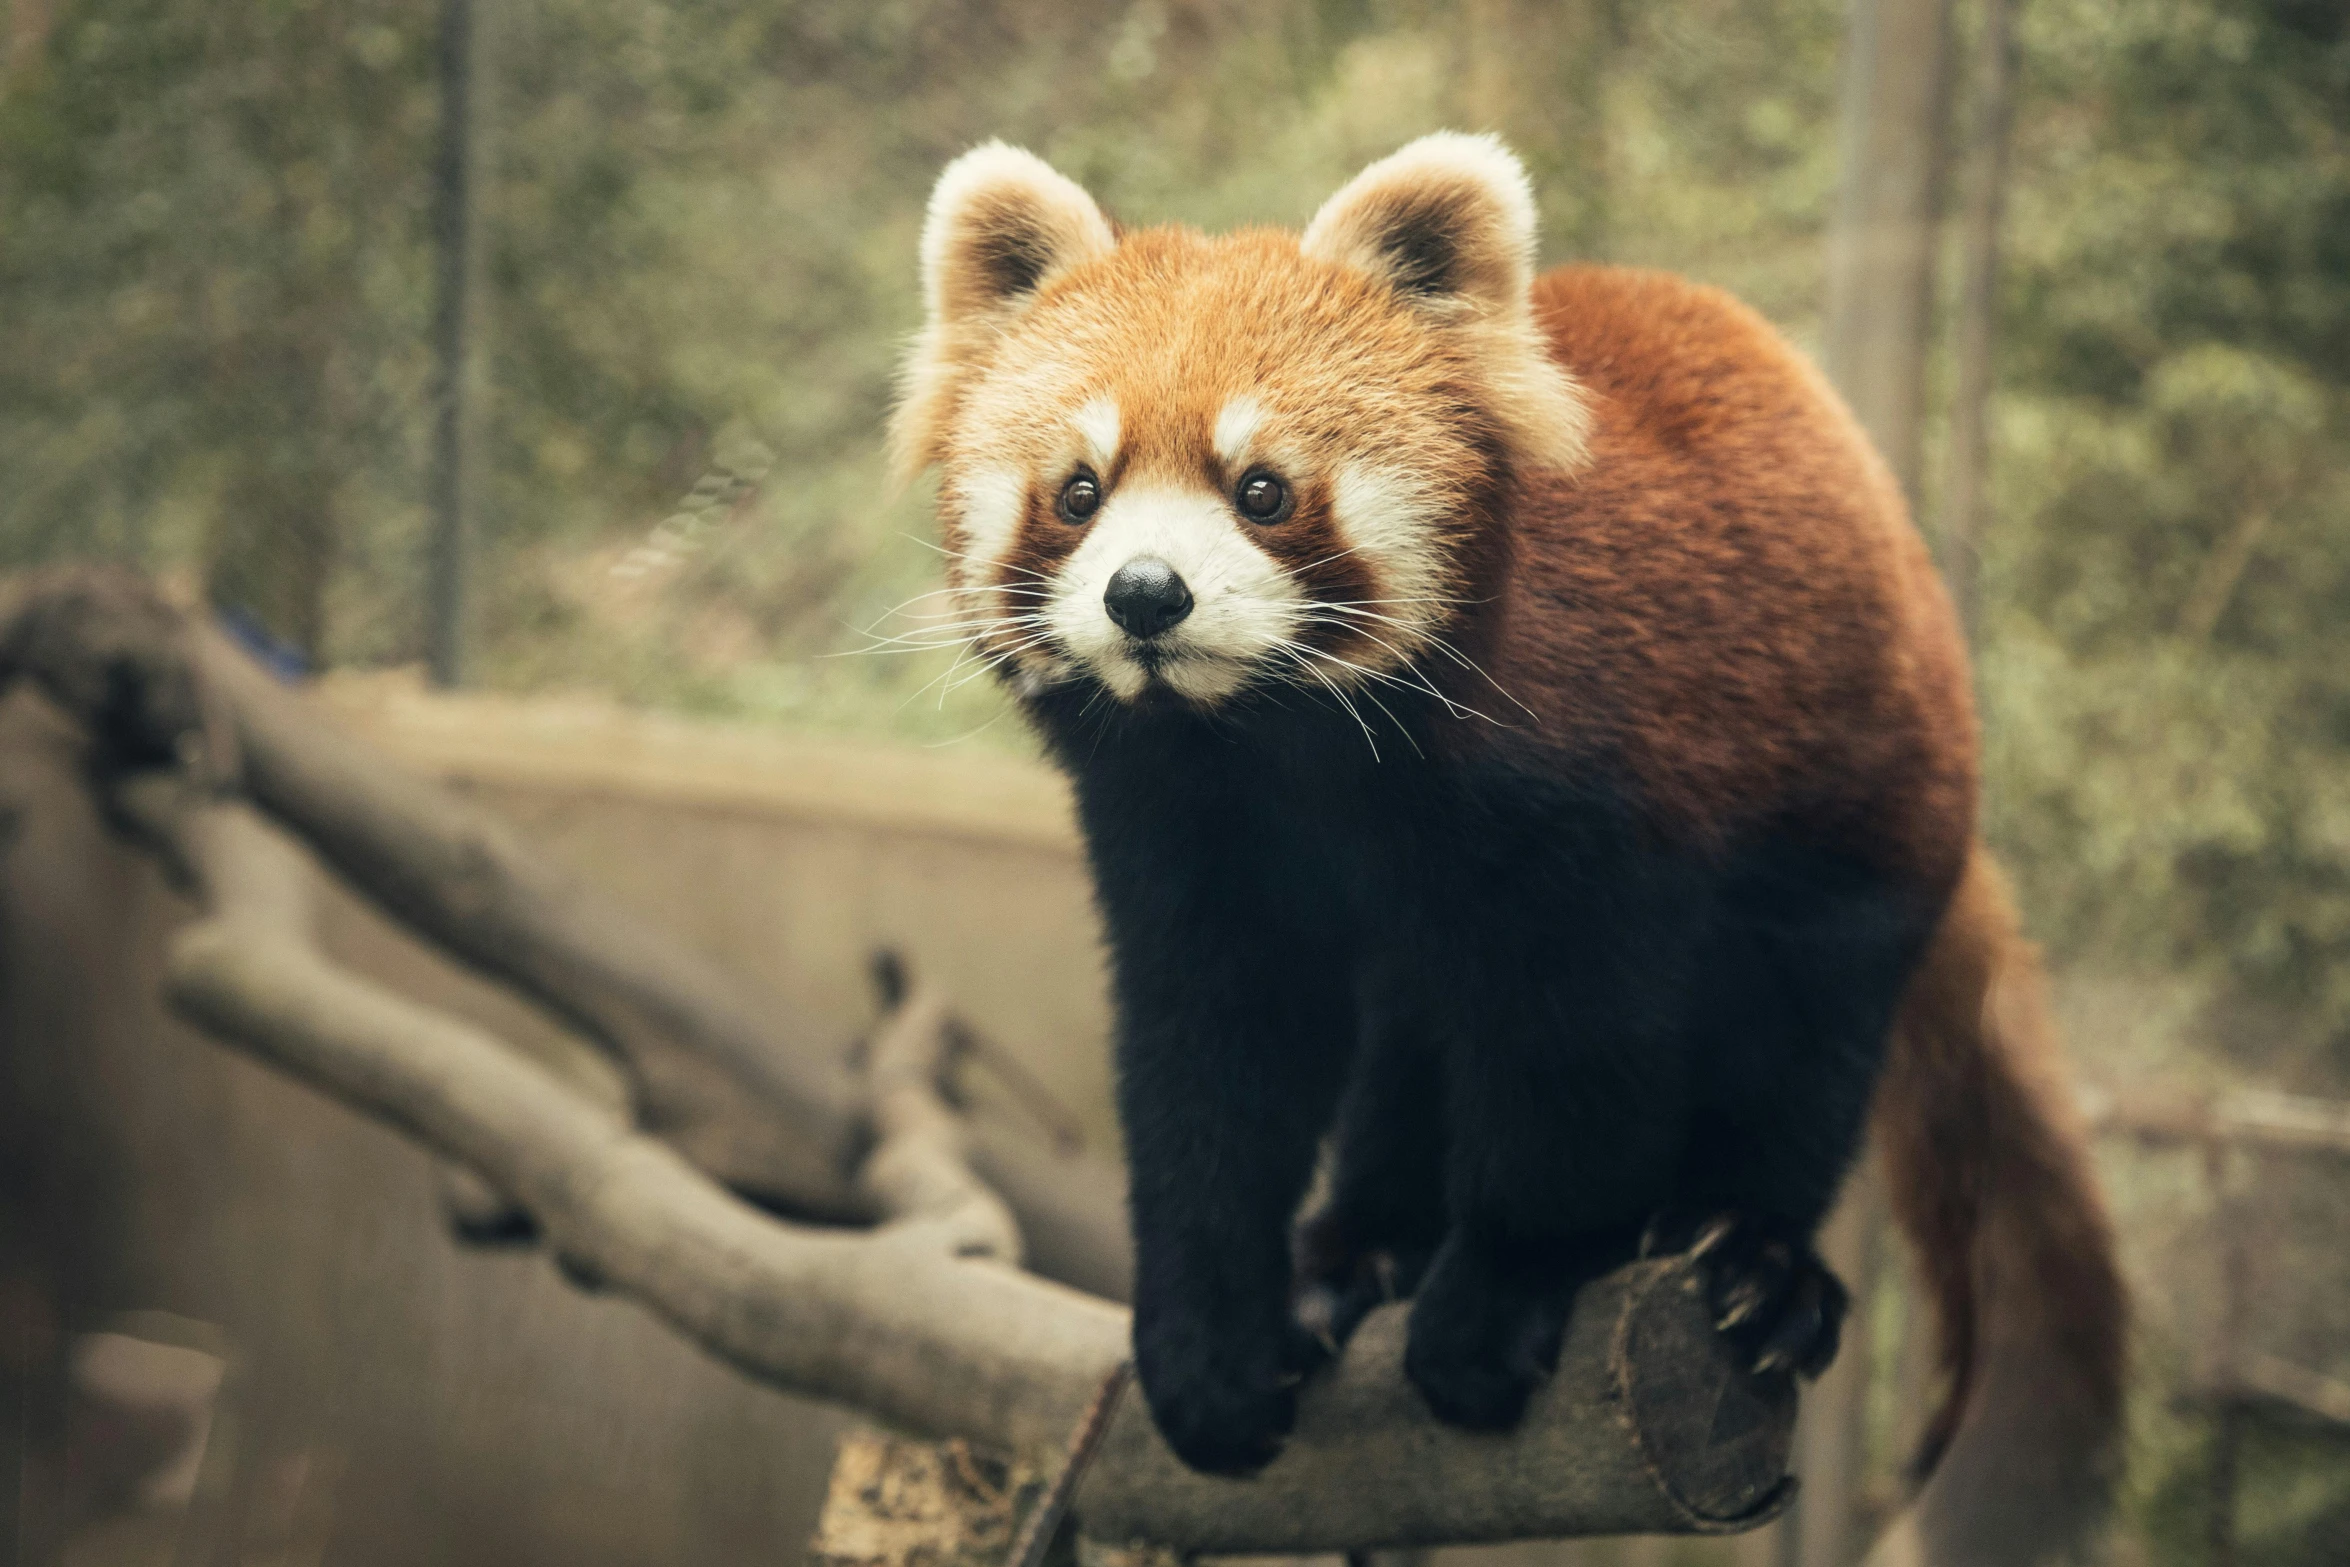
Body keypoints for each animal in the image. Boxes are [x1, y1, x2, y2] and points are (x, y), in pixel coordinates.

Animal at [883, 135, 2133, 1567]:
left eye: (1262, 491)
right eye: (1079, 492)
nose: (1146, 595)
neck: (1278, 748)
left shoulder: (1587, 800)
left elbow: (1573, 1066)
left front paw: (1497, 1301)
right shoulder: (1187, 837)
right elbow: (1210, 1064)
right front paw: (1207, 1344)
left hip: (1862, 795)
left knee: (1802, 1031)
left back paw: (1754, 1260)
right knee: (1411, 1033)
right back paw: (1359, 1249)